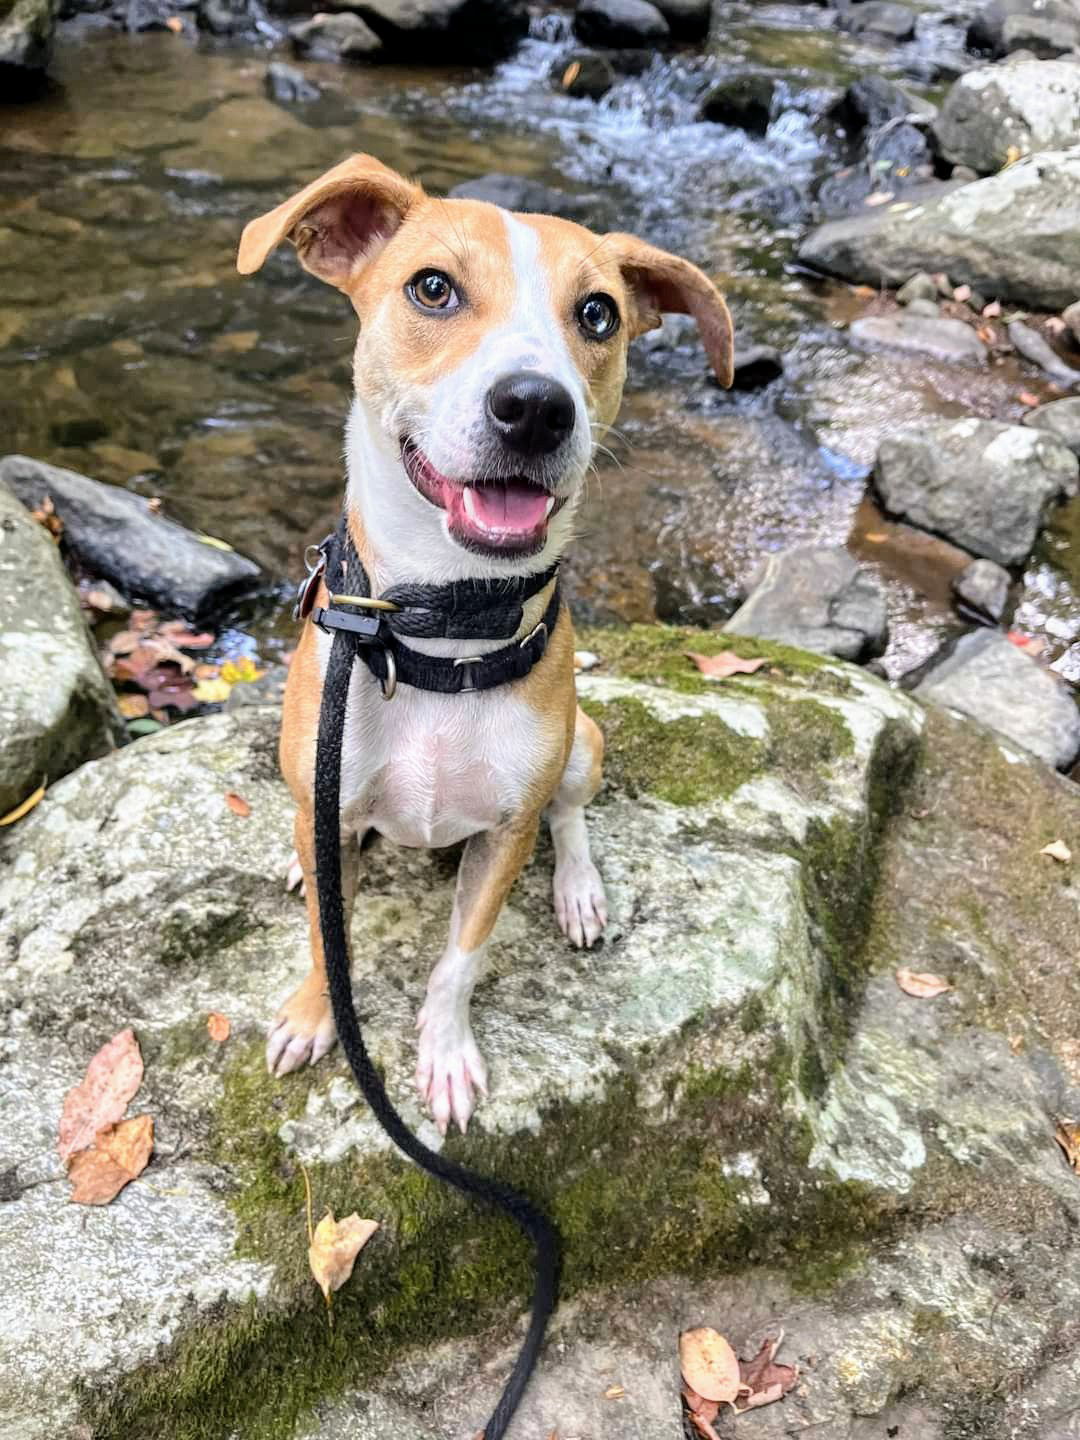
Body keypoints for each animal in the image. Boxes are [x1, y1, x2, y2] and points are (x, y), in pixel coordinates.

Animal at [239, 154, 737, 1134]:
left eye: (599, 313)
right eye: (432, 287)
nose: (536, 408)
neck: (444, 631)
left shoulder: (503, 836)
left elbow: (459, 959)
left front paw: (445, 1055)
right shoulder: (330, 793)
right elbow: (326, 939)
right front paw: (315, 1015)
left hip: (583, 744)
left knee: (572, 814)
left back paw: (579, 890)